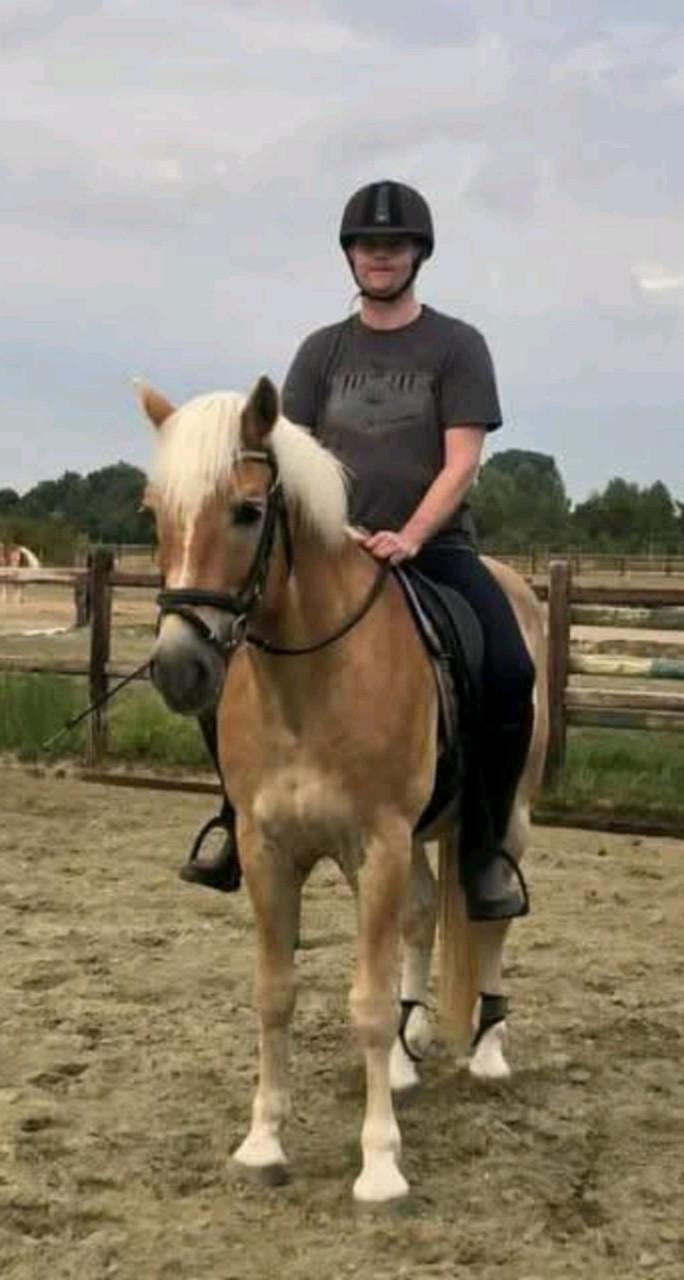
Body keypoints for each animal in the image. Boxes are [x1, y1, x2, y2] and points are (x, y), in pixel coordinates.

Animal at [140, 376, 548, 1205]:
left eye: (248, 511)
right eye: (154, 513)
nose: (177, 668)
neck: (309, 678)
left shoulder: (379, 843)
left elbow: (365, 1001)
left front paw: (381, 1164)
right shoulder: (269, 849)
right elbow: (276, 991)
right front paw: (262, 1143)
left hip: (504, 821)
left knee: (487, 915)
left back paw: (489, 1049)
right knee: (422, 915)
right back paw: (408, 1049)